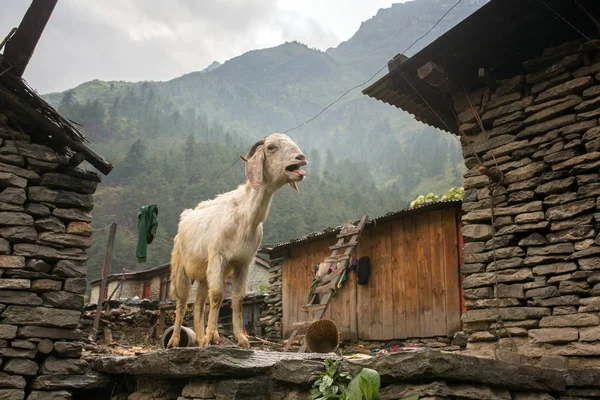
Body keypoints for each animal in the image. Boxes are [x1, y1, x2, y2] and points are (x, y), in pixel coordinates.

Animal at [166, 133, 308, 348]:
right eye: (271, 147)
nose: (301, 158)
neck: (244, 216)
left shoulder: (243, 262)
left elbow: (238, 299)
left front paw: (241, 339)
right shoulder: (218, 257)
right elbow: (217, 296)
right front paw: (213, 337)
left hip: (203, 273)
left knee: (198, 304)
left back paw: (199, 339)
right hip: (180, 268)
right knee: (182, 302)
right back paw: (175, 340)